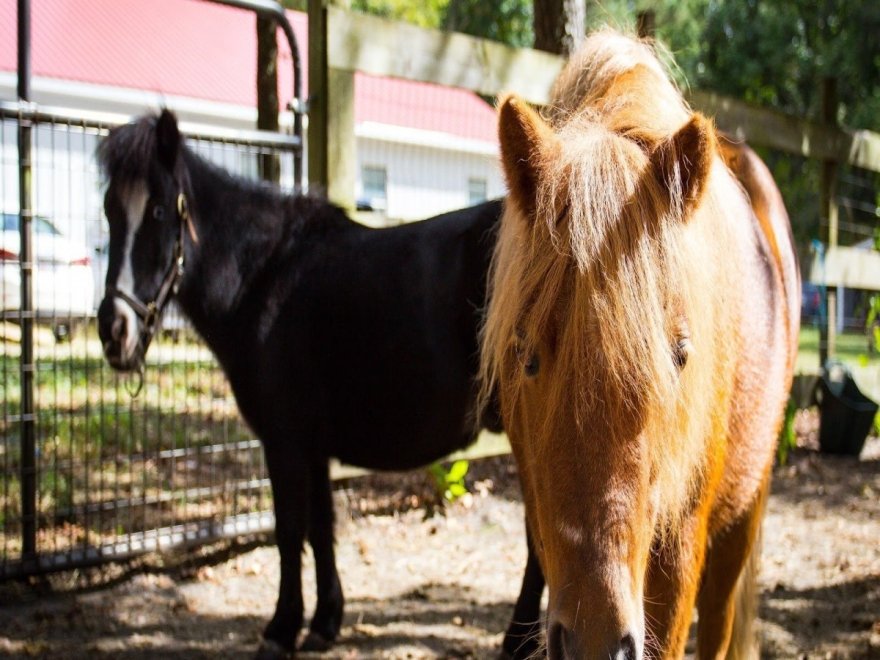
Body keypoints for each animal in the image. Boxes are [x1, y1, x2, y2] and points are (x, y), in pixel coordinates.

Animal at [99, 111, 548, 656]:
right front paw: (324, 621)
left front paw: (281, 627)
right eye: (109, 211)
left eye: (160, 211)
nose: (113, 330)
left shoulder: (284, 442)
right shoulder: (311, 447)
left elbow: (289, 531)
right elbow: (321, 528)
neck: (261, 278)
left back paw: (518, 640)